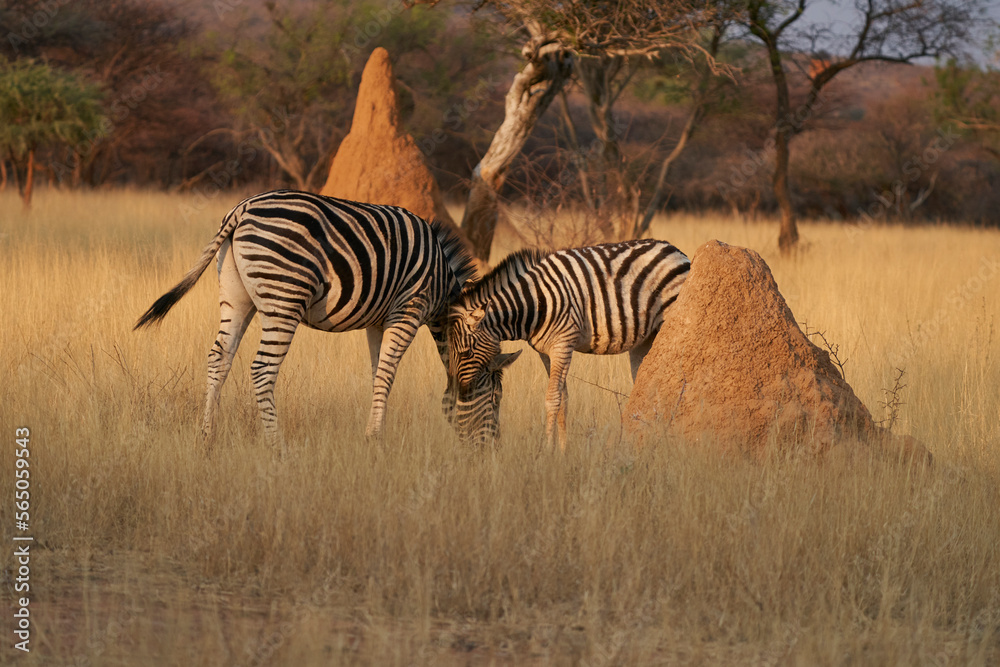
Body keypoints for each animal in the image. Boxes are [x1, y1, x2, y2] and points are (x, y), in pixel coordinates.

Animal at [135, 190, 477, 449]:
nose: (477, 448)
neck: (441, 280)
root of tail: (241, 209)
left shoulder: (379, 321)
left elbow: (377, 371)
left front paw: (376, 431)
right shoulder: (408, 309)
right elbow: (387, 373)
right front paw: (375, 438)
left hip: (235, 294)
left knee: (219, 358)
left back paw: (208, 437)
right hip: (284, 297)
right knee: (262, 369)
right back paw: (277, 446)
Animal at [446, 239, 689, 450]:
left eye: (466, 352)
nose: (462, 392)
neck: (535, 303)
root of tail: (674, 249)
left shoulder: (562, 345)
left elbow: (552, 398)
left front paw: (547, 450)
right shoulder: (545, 352)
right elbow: (563, 399)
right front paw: (562, 452)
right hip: (645, 339)